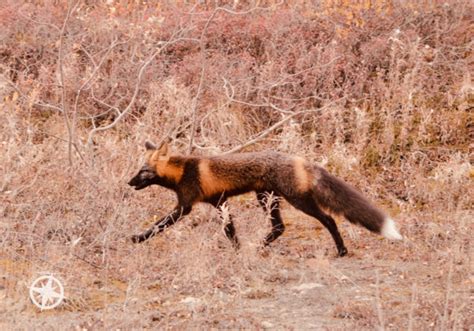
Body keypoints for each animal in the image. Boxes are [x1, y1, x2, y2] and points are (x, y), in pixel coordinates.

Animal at [128, 141, 402, 258]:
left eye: (143, 171)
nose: (129, 183)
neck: (184, 171)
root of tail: (300, 160)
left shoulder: (184, 206)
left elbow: (159, 225)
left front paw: (138, 238)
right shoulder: (220, 202)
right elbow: (230, 231)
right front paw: (238, 251)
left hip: (298, 201)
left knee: (329, 220)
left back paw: (342, 251)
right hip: (266, 199)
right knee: (279, 227)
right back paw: (259, 246)